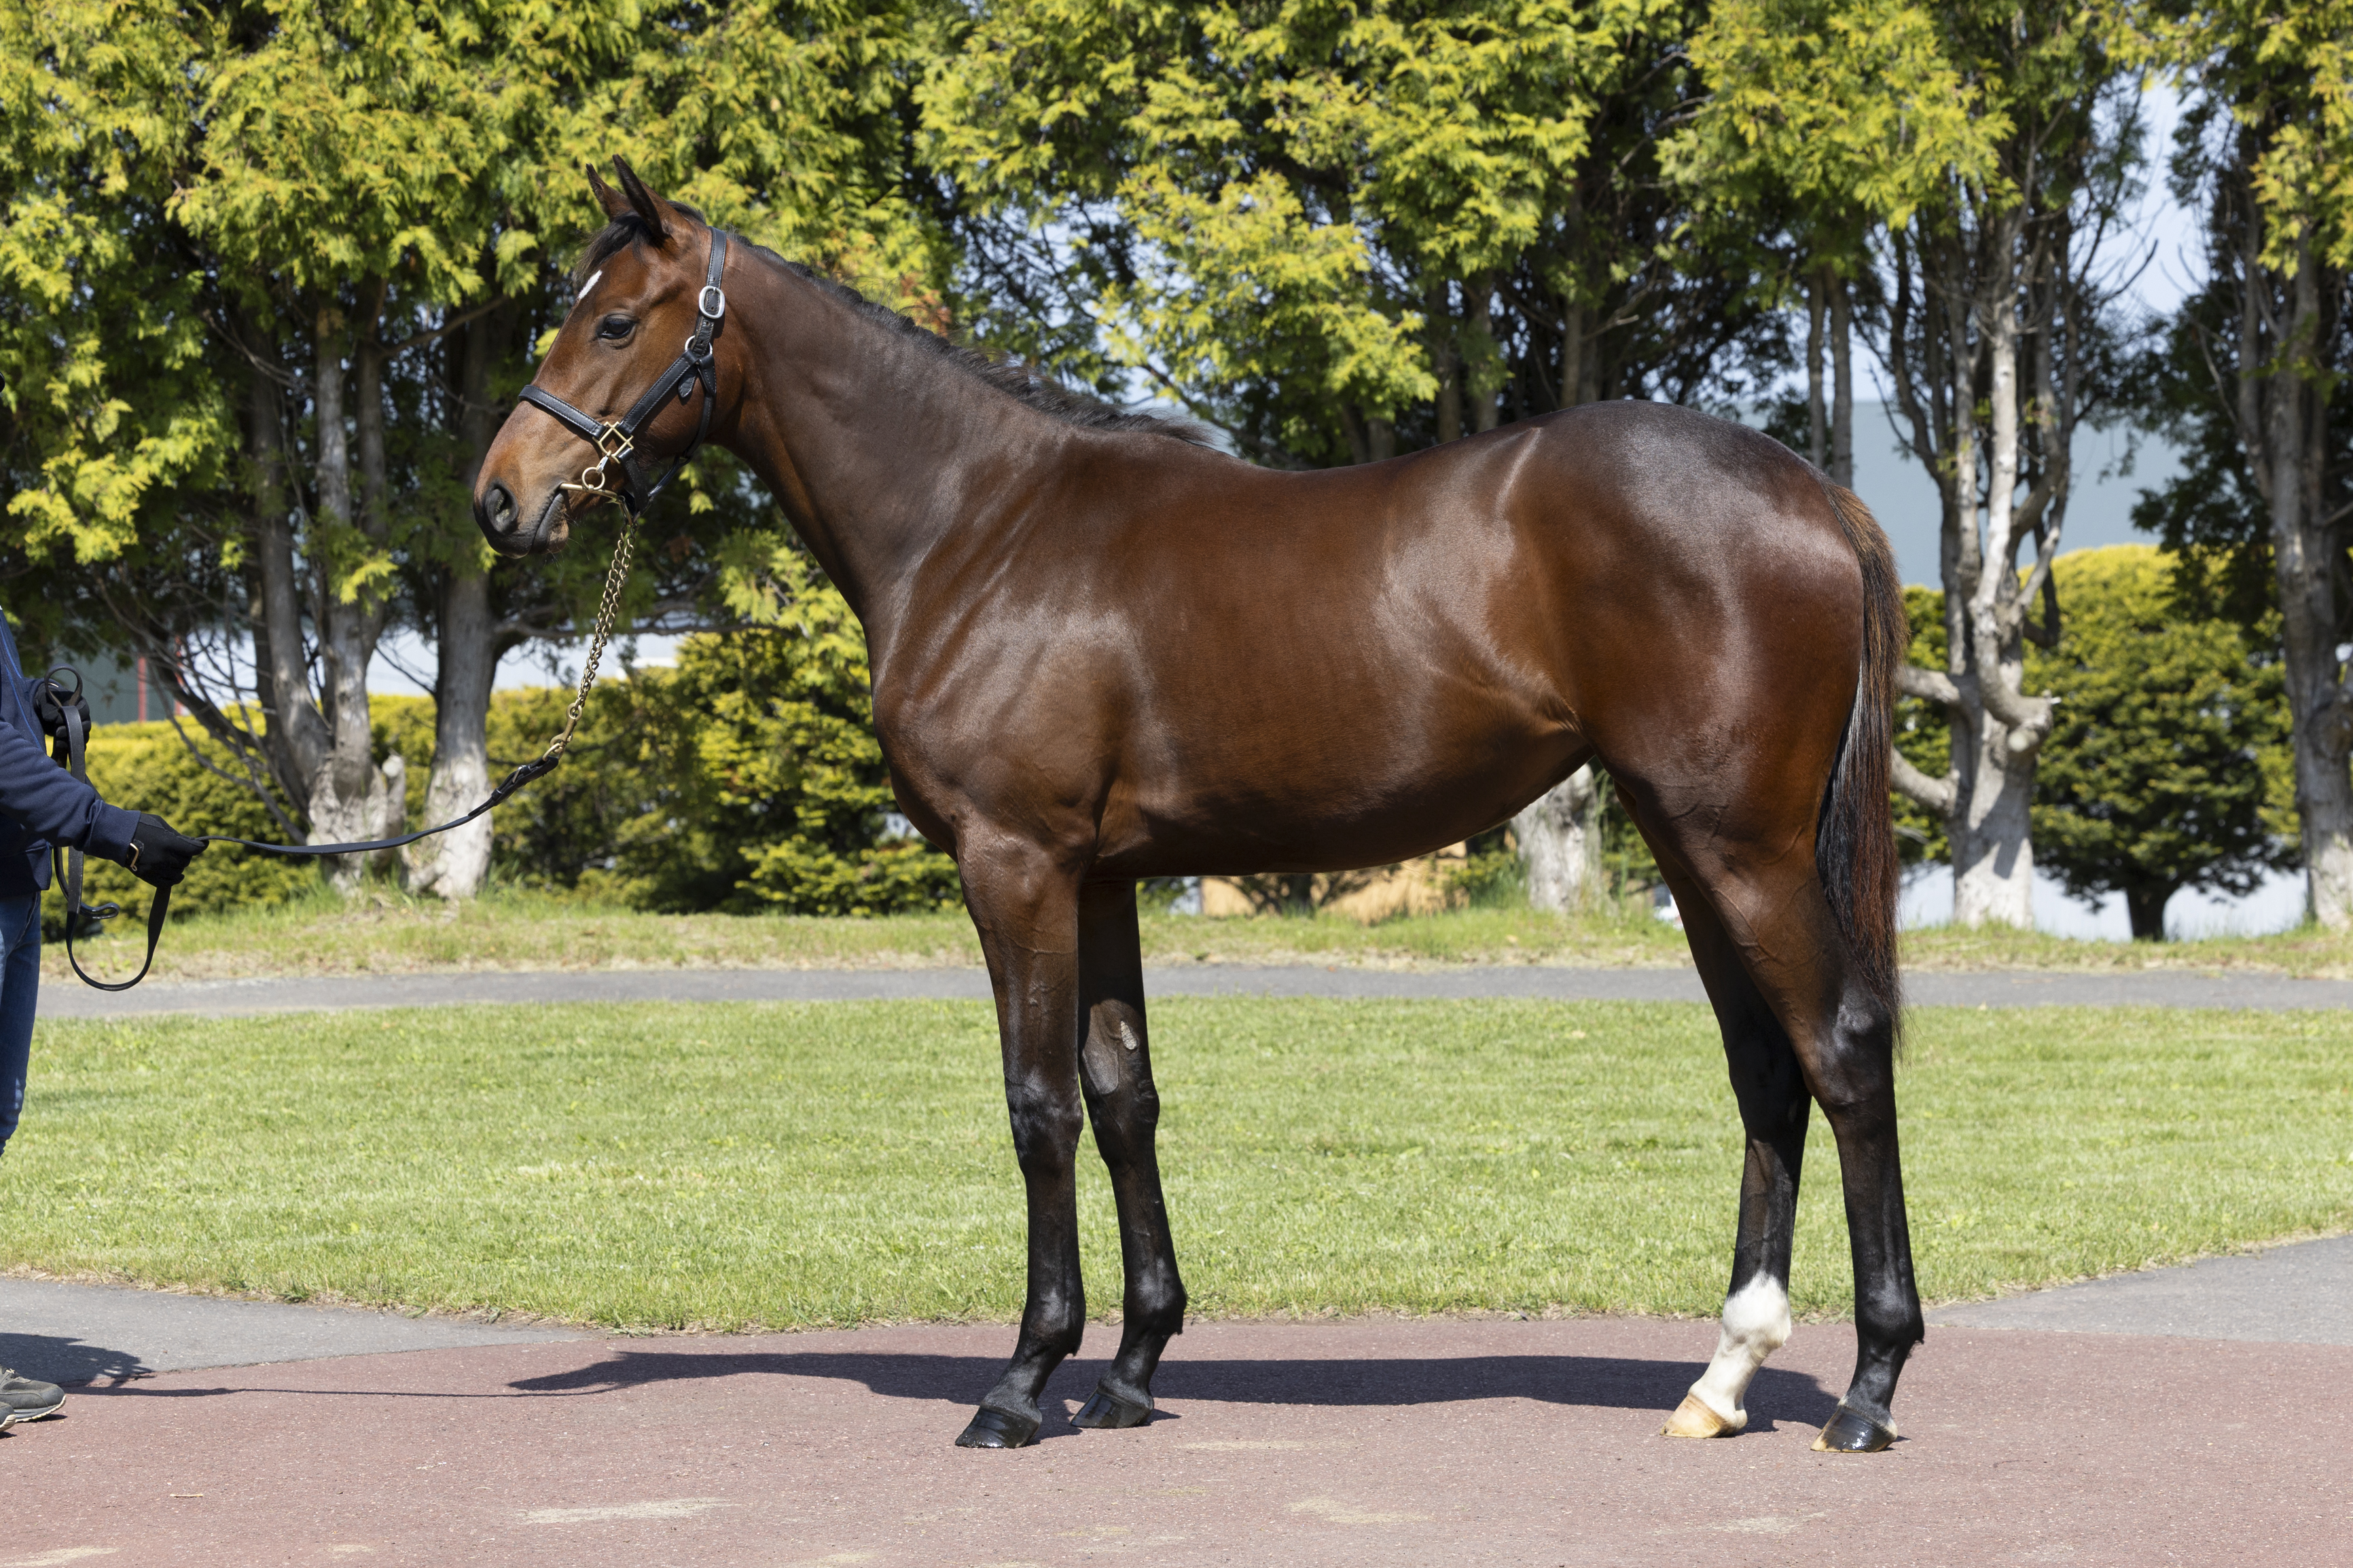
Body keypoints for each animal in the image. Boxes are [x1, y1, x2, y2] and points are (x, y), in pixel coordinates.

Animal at [475, 160, 1923, 1455]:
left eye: (615, 320)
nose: (502, 498)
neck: (978, 523)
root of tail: (1813, 491)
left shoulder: (1014, 863)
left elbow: (1037, 1105)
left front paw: (1022, 1380)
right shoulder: (1103, 874)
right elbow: (1123, 1098)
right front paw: (1128, 1366)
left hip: (1740, 846)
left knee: (1839, 1055)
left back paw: (1864, 1388)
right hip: (1690, 842)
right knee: (1762, 1069)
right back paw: (1720, 1377)